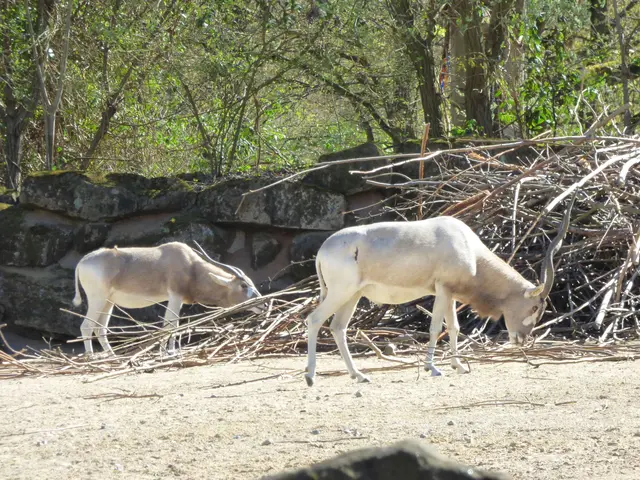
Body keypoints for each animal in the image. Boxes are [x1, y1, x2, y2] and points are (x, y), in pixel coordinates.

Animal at [73, 242, 263, 355]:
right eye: (243, 285)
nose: (262, 303)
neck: (190, 265)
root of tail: (83, 262)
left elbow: (167, 325)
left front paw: (163, 352)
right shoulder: (175, 296)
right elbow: (172, 324)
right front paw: (170, 352)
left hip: (108, 302)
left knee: (100, 329)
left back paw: (112, 357)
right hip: (98, 299)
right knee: (87, 326)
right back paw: (91, 357)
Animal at [304, 199, 574, 386]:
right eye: (535, 307)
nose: (521, 339)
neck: (468, 247)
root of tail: (323, 250)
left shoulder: (451, 293)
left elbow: (454, 327)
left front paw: (459, 365)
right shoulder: (442, 289)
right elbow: (435, 327)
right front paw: (432, 368)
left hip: (352, 296)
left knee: (338, 327)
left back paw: (358, 375)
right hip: (341, 292)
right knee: (314, 320)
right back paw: (311, 376)